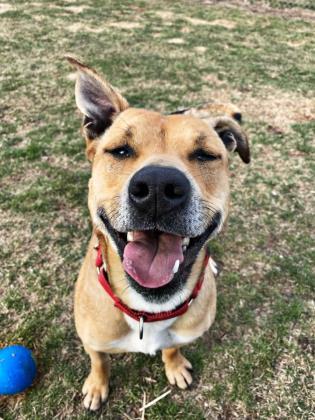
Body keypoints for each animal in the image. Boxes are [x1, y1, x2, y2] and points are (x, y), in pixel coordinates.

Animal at [66, 55, 249, 410]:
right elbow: (99, 360)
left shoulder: (182, 334)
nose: (158, 188)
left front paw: (174, 366)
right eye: (120, 151)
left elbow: (172, 347)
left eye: (205, 155)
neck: (146, 312)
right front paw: (96, 386)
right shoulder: (92, 339)